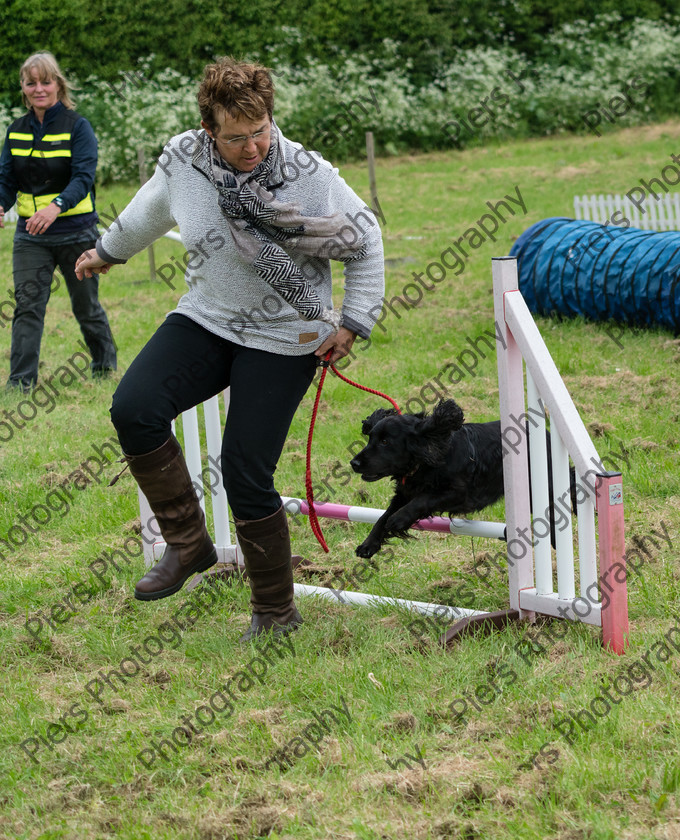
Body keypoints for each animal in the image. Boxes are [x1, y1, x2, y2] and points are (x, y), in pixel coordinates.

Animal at [348, 400, 572, 556]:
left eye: (385, 442)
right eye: (370, 438)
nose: (354, 463)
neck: (428, 455)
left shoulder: (458, 492)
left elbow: (422, 500)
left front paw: (399, 519)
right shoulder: (404, 493)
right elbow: (382, 517)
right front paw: (368, 544)